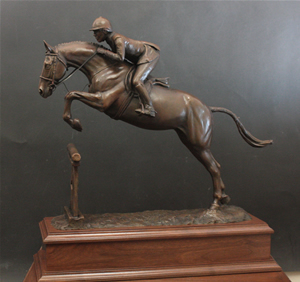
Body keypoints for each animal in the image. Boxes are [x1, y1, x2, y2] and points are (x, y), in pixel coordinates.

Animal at [37, 41, 272, 209]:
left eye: (47, 64)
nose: (41, 91)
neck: (106, 69)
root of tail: (207, 108)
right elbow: (71, 96)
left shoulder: (102, 102)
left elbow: (70, 95)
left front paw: (75, 124)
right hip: (190, 142)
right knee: (216, 166)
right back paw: (223, 199)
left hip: (199, 144)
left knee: (214, 168)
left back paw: (215, 204)